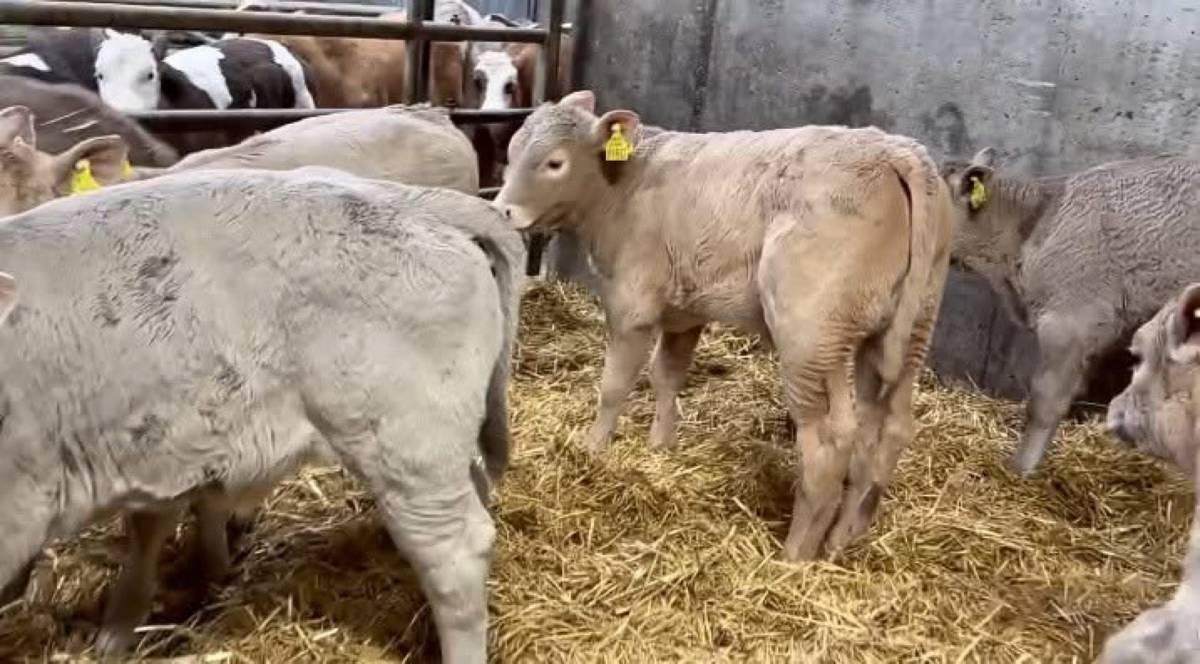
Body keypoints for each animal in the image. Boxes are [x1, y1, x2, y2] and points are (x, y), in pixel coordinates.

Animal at [493, 90, 955, 561]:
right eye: (510, 153)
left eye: (555, 162)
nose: (503, 210)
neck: (624, 184)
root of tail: (897, 151)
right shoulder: (685, 309)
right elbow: (667, 375)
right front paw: (661, 446)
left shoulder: (631, 304)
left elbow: (614, 386)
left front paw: (592, 450)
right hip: (906, 331)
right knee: (886, 428)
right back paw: (842, 539)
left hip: (810, 334)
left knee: (829, 440)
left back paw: (795, 555)